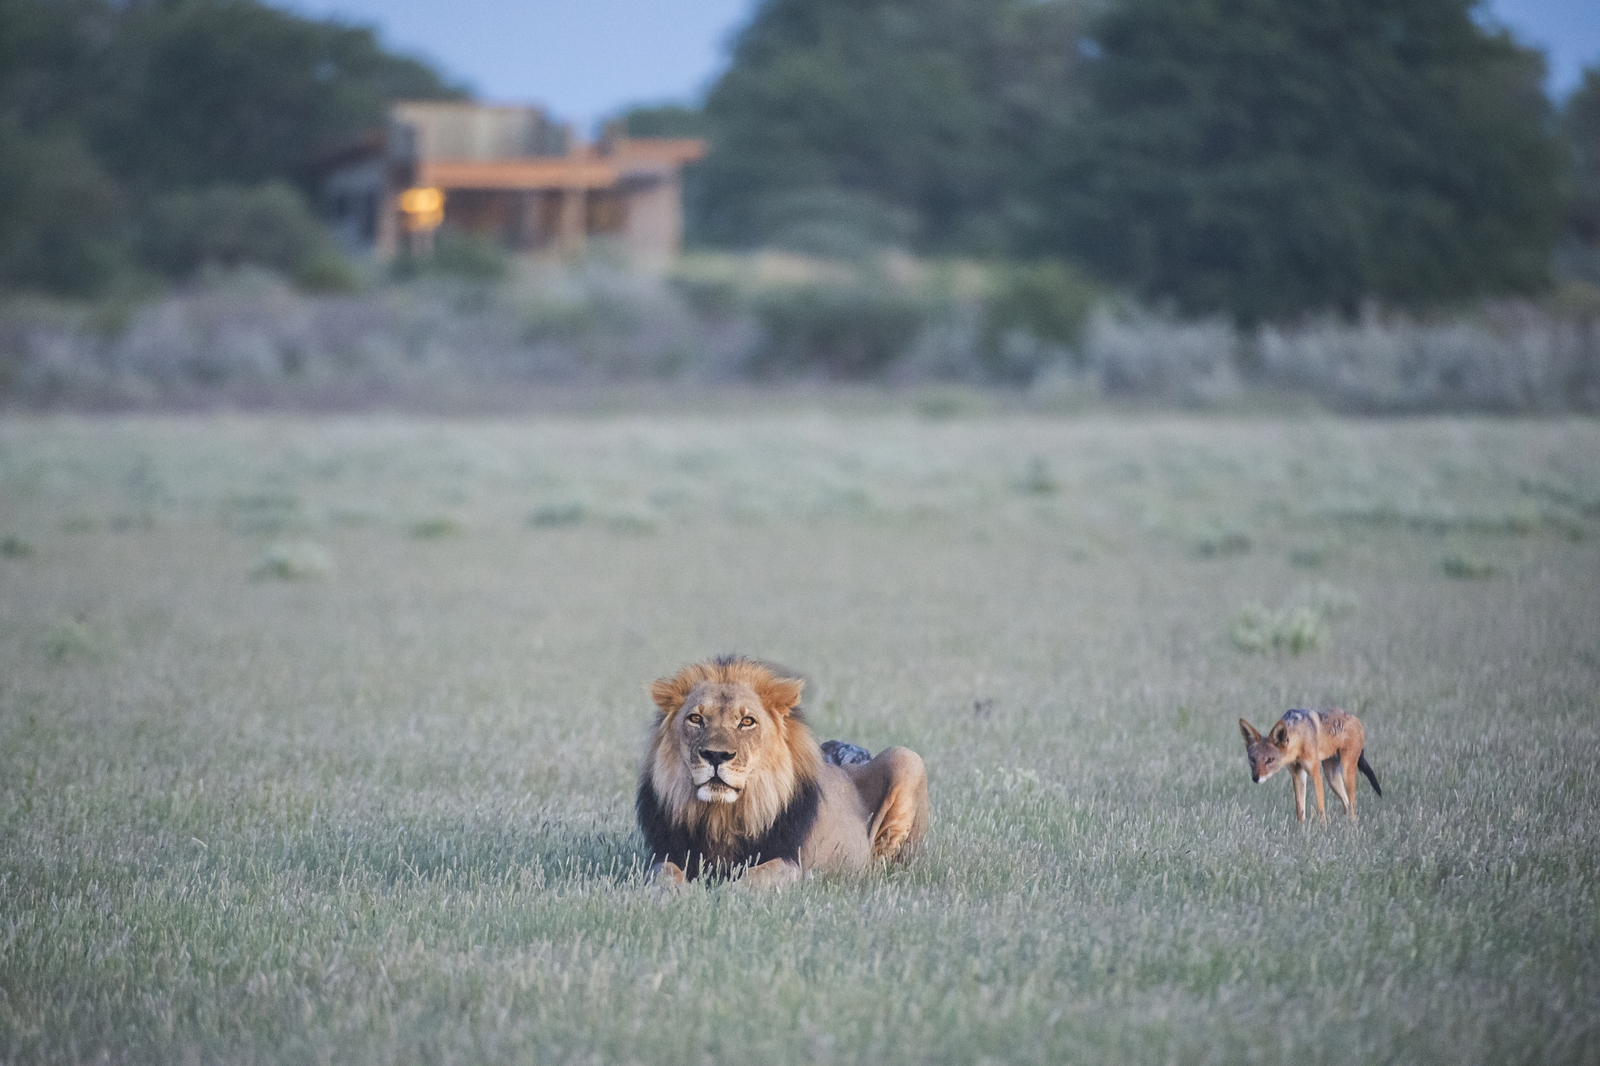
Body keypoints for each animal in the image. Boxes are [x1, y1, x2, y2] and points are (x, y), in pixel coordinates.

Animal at [636, 655, 929, 888]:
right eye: (696, 719)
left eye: (747, 721)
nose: (716, 756)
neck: (722, 816)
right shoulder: (664, 855)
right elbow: (663, 873)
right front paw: (675, 894)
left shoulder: (791, 862)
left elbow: (757, 875)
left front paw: (727, 893)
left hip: (906, 757)